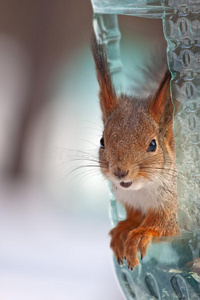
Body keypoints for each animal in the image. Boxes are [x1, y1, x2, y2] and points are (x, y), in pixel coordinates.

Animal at [91, 35, 180, 270]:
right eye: (102, 141)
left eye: (152, 145)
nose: (120, 172)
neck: (142, 191)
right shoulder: (130, 201)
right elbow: (133, 217)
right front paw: (125, 227)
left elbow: (166, 226)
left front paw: (142, 232)